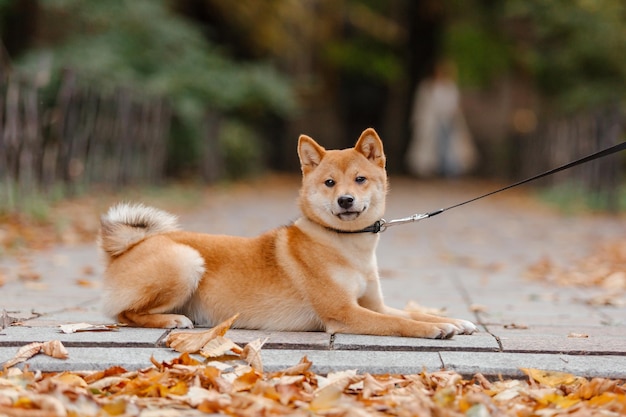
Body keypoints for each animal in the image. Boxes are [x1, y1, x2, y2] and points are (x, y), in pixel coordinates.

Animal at [100, 127, 476, 338]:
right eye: (329, 183)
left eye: (360, 179)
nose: (345, 200)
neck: (347, 246)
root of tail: (127, 247)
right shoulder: (345, 312)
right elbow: (404, 323)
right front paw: (433, 328)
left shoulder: (375, 304)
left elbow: (411, 313)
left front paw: (454, 321)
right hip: (186, 261)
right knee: (125, 314)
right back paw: (172, 320)